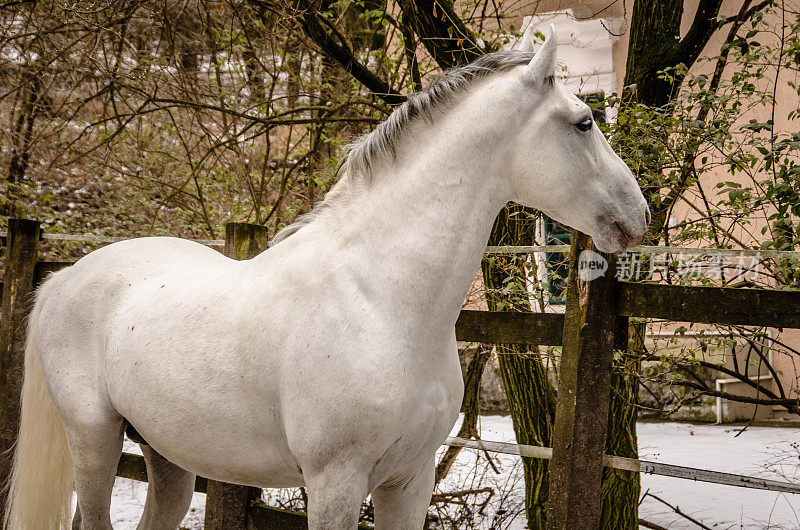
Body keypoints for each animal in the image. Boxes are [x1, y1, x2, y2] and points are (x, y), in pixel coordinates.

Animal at [3, 24, 648, 528]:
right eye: (584, 122)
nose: (637, 216)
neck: (380, 300)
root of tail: (65, 279)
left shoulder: (409, 480)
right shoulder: (335, 483)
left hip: (166, 454)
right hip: (94, 440)